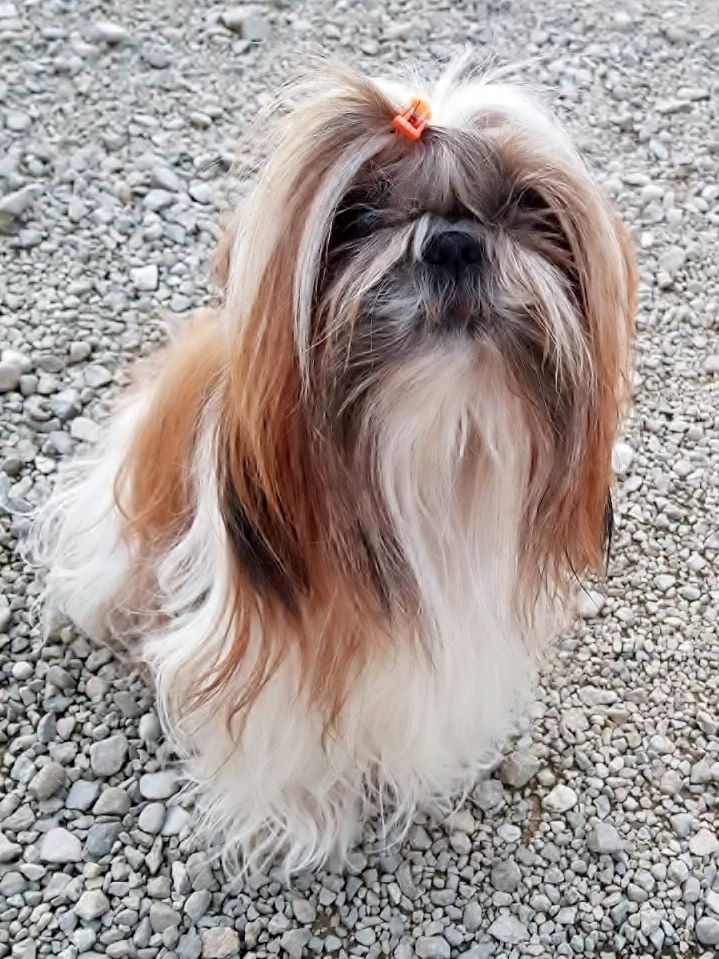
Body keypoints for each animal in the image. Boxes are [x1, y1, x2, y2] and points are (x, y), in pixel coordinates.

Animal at [31, 57, 635, 875]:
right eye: (357, 216)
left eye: (522, 204)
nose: (452, 242)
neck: (435, 436)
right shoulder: (257, 649)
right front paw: (294, 820)